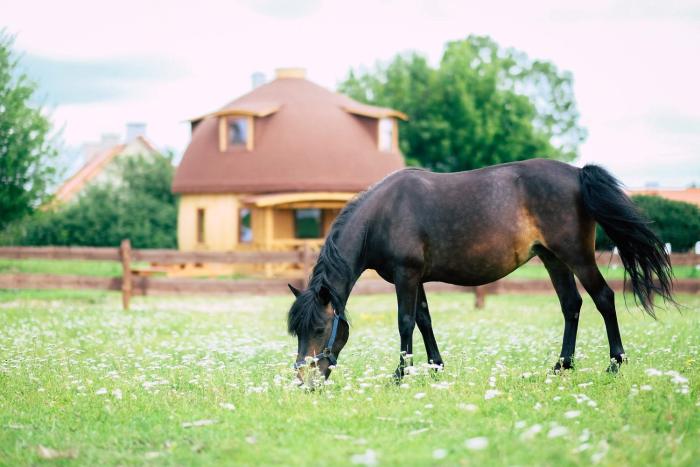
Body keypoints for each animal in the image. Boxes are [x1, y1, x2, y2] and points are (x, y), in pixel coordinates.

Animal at [284, 159, 672, 382]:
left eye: (319, 328)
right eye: (297, 332)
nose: (305, 381)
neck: (384, 214)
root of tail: (577, 174)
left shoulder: (405, 276)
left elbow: (405, 322)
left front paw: (400, 374)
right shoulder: (415, 278)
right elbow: (424, 320)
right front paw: (436, 367)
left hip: (575, 256)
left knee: (603, 298)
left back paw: (615, 362)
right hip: (552, 258)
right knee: (571, 305)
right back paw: (562, 365)